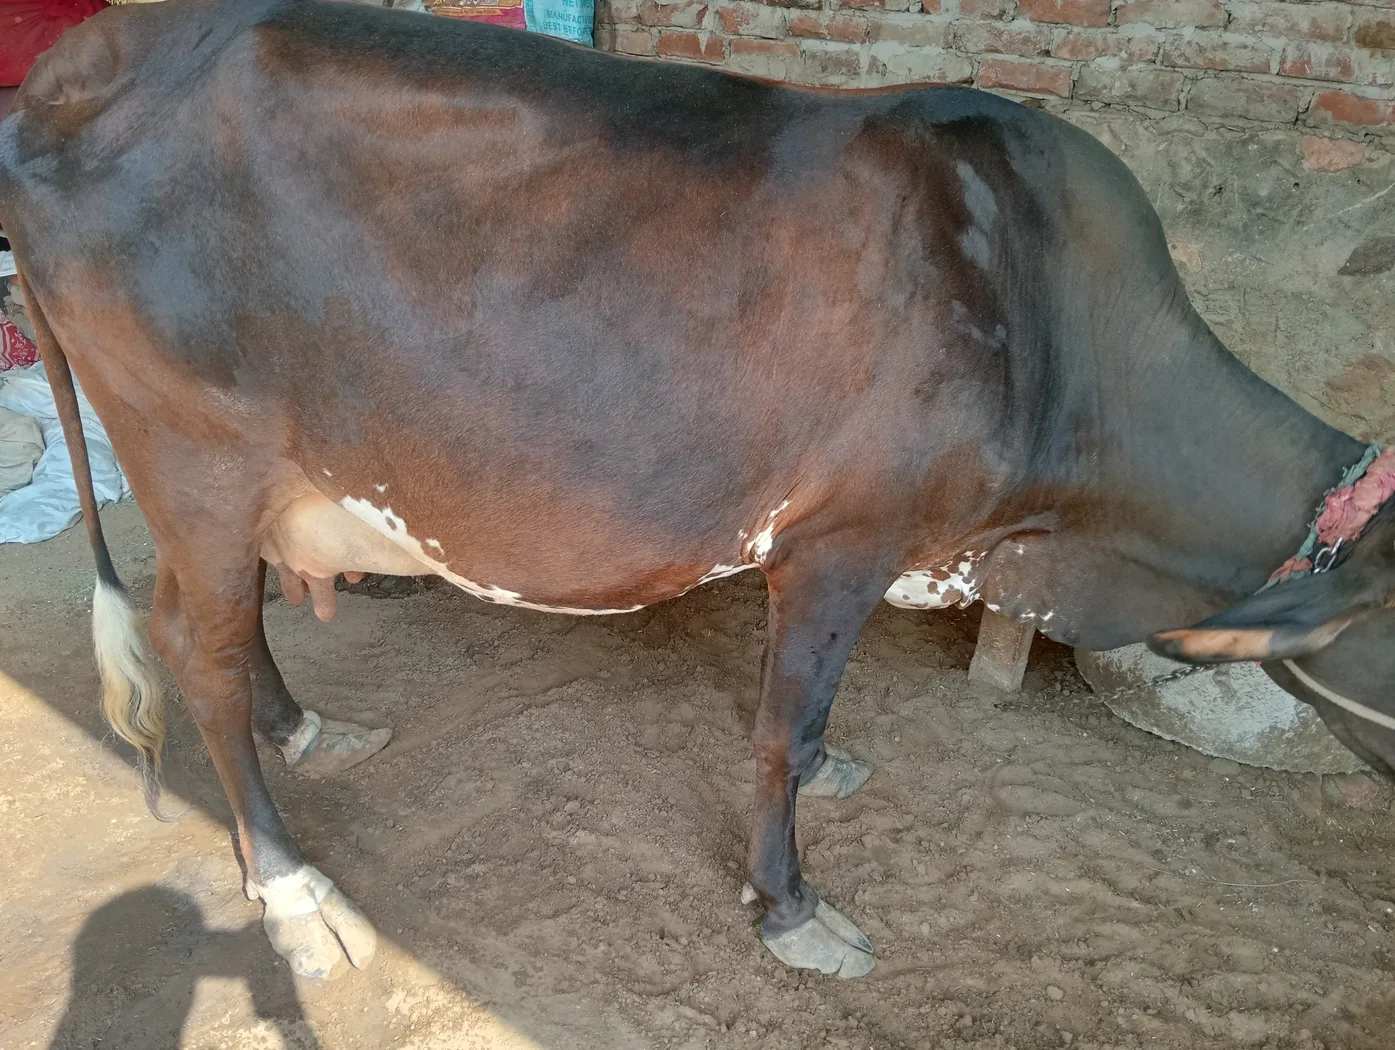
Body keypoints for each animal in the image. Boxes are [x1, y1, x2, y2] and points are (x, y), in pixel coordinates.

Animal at [2, 0, 1393, 983]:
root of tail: (67, 74)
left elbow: (797, 709)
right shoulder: (845, 536)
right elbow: (787, 727)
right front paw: (790, 908)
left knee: (232, 623)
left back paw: (306, 730)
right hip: (192, 449)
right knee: (198, 648)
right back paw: (292, 888)